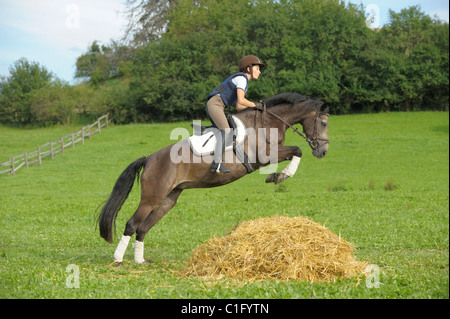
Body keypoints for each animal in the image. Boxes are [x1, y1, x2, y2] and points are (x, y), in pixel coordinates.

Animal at [98, 92, 328, 264]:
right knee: (132, 224)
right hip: (151, 197)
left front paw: (278, 175)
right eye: (324, 123)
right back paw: (118, 259)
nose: (323, 152)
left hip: (168, 199)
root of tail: (149, 159)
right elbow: (297, 150)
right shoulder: (264, 156)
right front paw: (281, 176)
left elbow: (296, 151)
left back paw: (140, 260)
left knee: (143, 227)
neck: (268, 122)